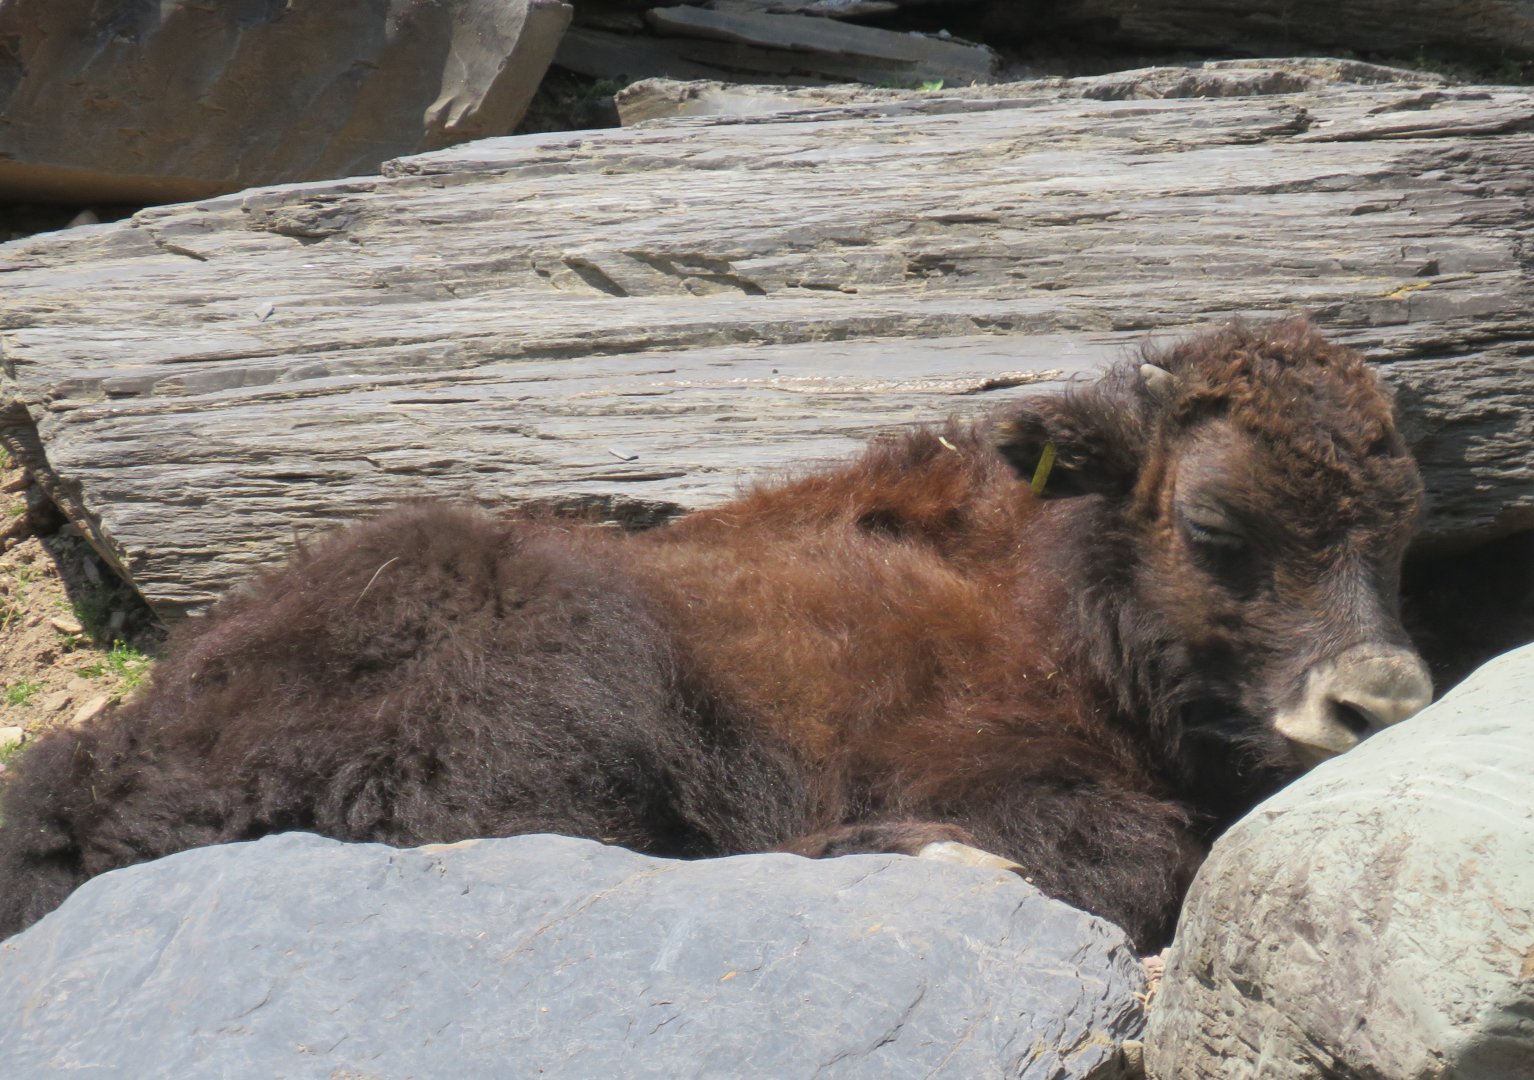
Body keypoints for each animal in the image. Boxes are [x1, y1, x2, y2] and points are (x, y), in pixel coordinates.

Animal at [0, 318, 1433, 948]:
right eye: (1213, 522)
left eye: (1399, 529)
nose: (1379, 702)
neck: (1041, 588)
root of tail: (91, 774)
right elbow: (1143, 855)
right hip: (571, 665)